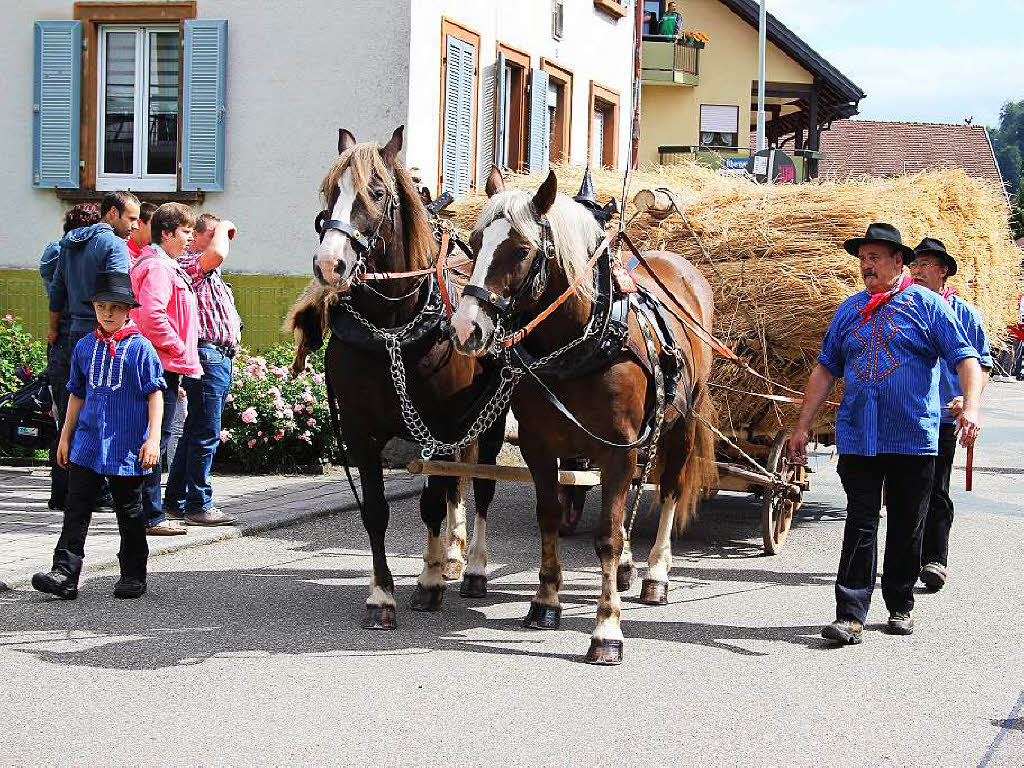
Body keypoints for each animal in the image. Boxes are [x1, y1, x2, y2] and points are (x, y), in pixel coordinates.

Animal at [286, 128, 501, 630]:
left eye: (378, 193)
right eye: (330, 191)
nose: (329, 264)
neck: (392, 328)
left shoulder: (437, 429)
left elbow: (431, 503)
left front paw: (429, 581)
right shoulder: (361, 432)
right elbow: (377, 512)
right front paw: (382, 595)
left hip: (493, 418)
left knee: (481, 486)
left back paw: (473, 567)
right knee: (458, 486)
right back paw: (453, 555)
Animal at [452, 169, 716, 667]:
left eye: (521, 250)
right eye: (474, 243)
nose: (465, 329)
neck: (583, 342)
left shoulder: (617, 449)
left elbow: (606, 536)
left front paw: (606, 628)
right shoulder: (539, 446)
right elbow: (550, 517)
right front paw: (546, 602)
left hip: (682, 424)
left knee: (670, 489)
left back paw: (656, 574)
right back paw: (631, 566)